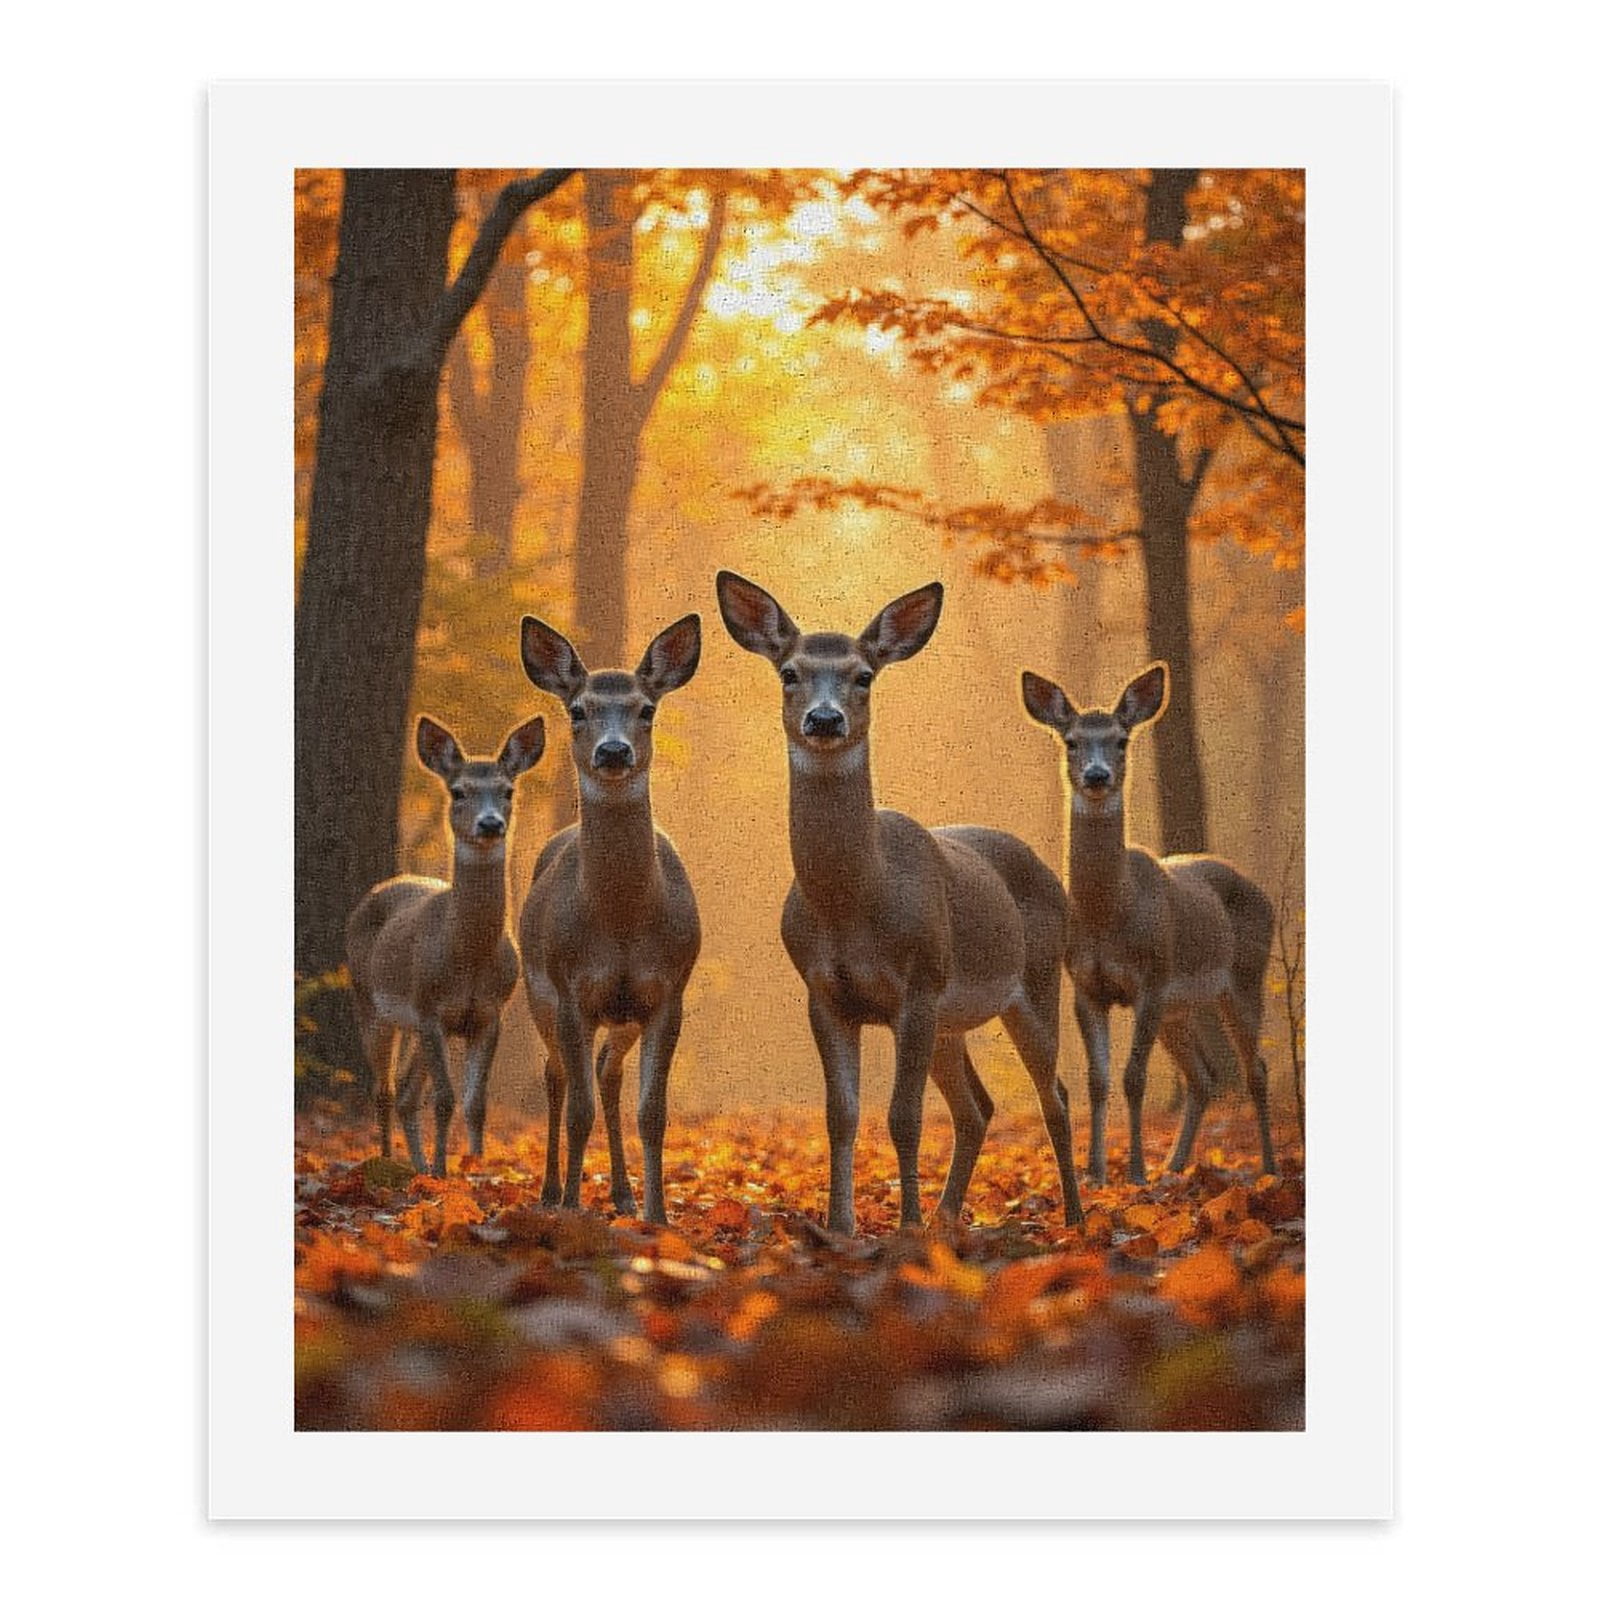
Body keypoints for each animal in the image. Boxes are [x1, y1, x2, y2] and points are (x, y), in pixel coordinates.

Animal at [345, 714, 547, 1176]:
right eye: (458, 791)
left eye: (508, 790)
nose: (490, 824)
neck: (467, 955)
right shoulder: (430, 1009)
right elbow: (444, 1100)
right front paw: (442, 1172)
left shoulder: (488, 1014)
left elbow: (475, 1104)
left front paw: (476, 1169)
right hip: (369, 1001)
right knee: (384, 1090)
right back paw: (388, 1164)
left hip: (414, 1025)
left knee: (405, 1093)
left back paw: (415, 1166)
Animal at [517, 612, 703, 1225]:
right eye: (578, 709)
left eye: (647, 709)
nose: (615, 751)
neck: (620, 922)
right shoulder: (571, 989)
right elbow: (578, 1109)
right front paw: (573, 1208)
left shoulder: (666, 991)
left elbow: (654, 1112)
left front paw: (658, 1217)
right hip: (537, 991)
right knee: (555, 1076)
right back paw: (552, 1191)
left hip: (620, 1017)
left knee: (606, 1073)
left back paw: (622, 1194)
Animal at [717, 570, 1085, 1236]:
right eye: (789, 672)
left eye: (864, 675)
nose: (825, 719)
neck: (855, 904)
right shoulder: (825, 993)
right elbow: (841, 1114)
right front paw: (842, 1227)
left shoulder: (919, 981)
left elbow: (903, 1116)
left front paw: (904, 1227)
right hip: (951, 1022)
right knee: (977, 1108)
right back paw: (947, 1217)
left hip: (1035, 982)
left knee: (1056, 1095)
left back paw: (1072, 1216)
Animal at [1020, 662, 1278, 1187]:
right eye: (1071, 741)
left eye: (1121, 740)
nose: (1097, 776)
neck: (1108, 914)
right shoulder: (1086, 985)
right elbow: (1098, 1081)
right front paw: (1096, 1173)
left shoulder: (1153, 978)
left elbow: (1132, 1078)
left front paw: (1135, 1172)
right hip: (1181, 1009)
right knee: (1204, 1077)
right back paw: (1176, 1168)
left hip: (1243, 977)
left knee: (1255, 1069)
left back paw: (1266, 1167)